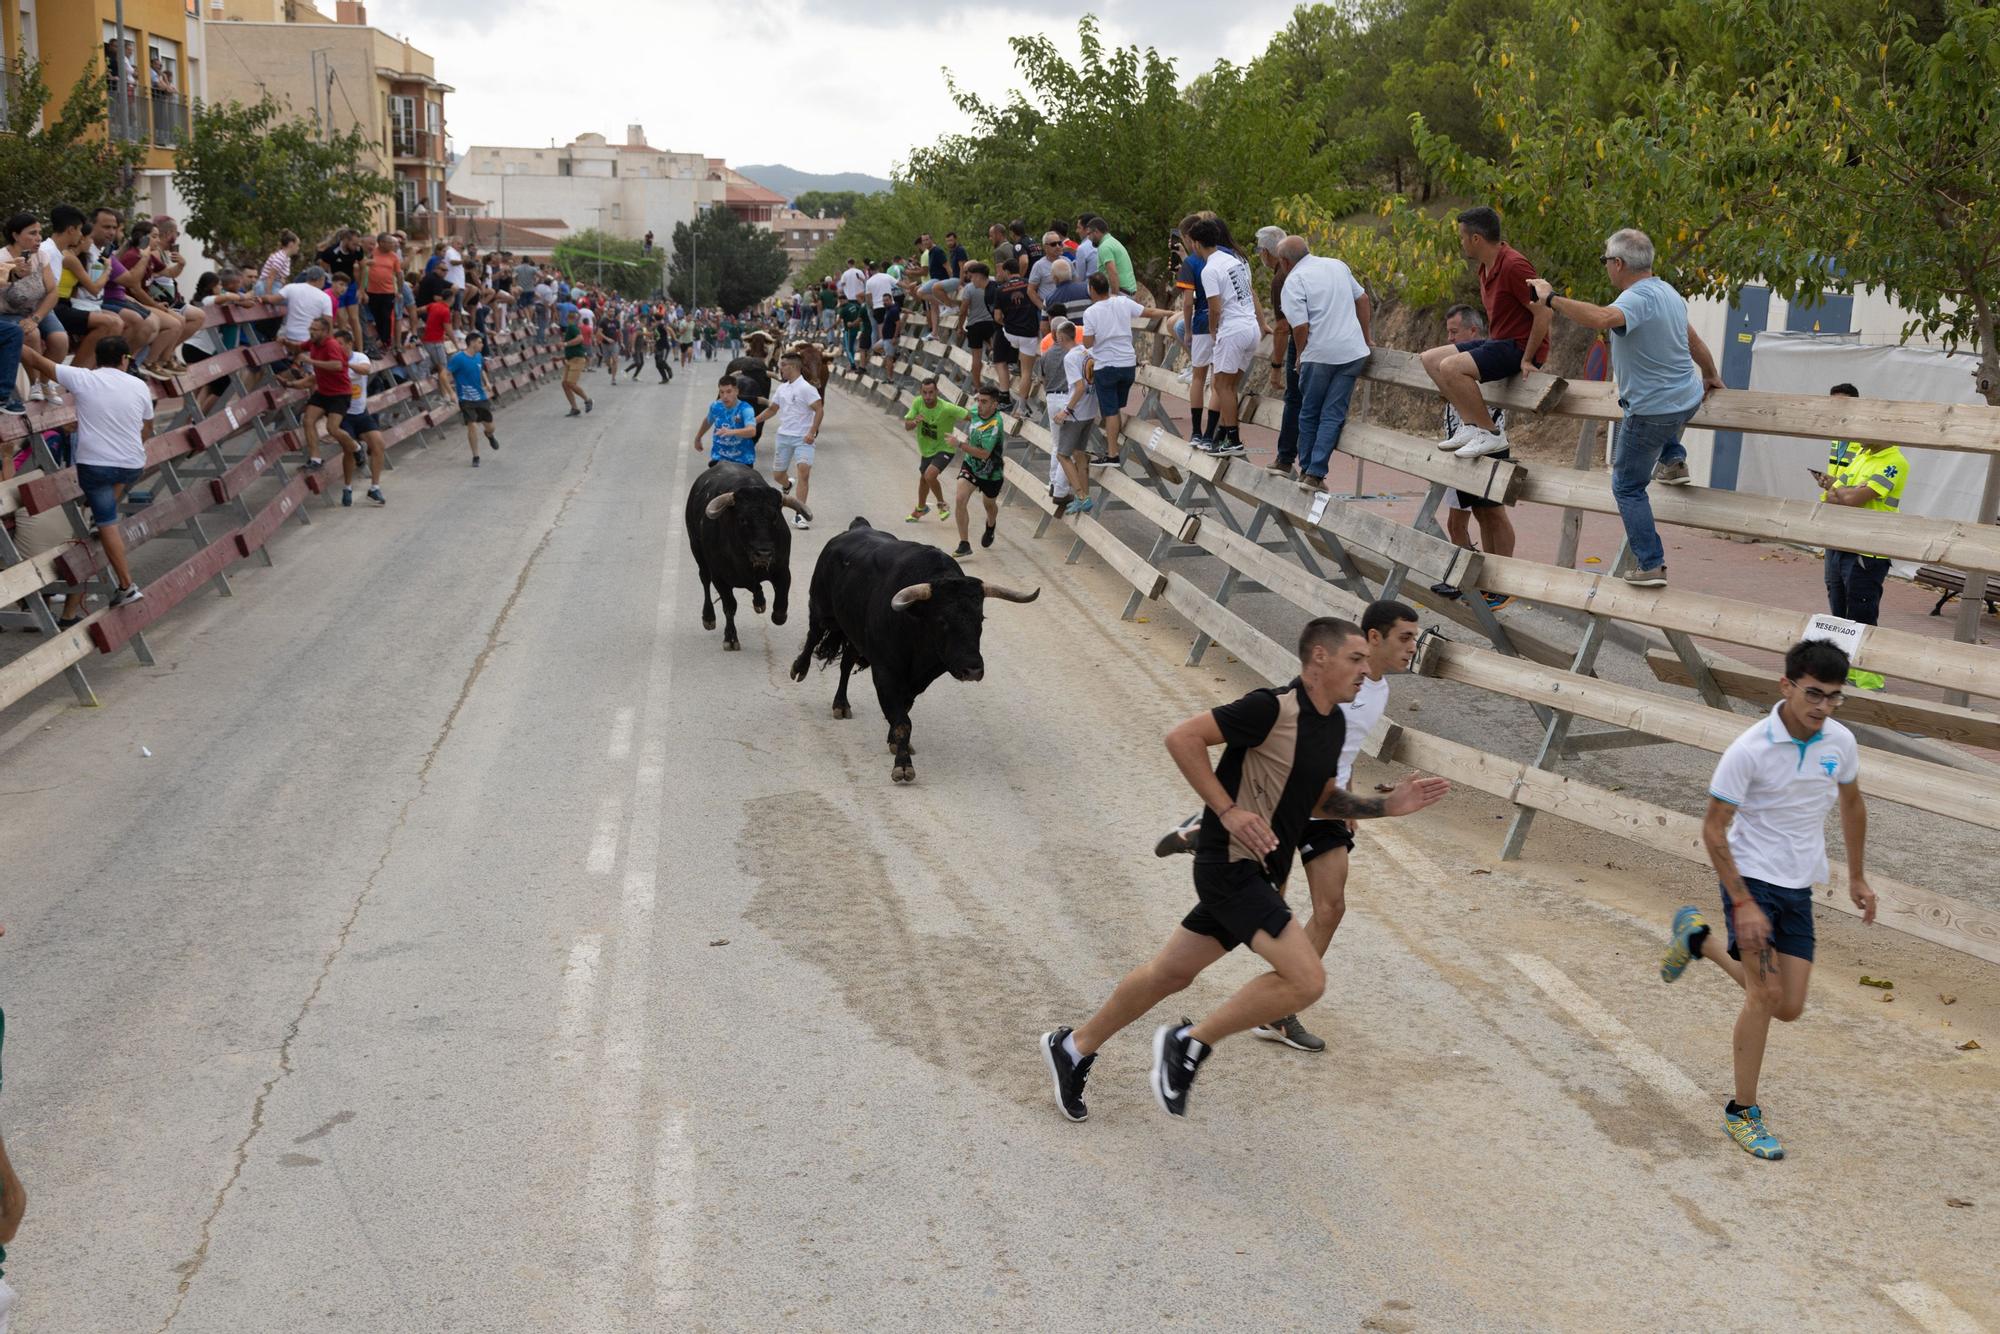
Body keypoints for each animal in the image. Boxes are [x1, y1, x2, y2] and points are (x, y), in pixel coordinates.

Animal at [688, 462, 812, 648]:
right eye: (743, 519)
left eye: (775, 518)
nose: (764, 553)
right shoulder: (719, 578)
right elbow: (729, 606)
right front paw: (730, 638)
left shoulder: (782, 569)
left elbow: (780, 604)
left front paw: (775, 613)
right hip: (698, 553)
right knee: (705, 580)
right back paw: (709, 618)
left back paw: (759, 602)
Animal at [788, 516, 1040, 776]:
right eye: (942, 621)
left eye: (980, 618)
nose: (973, 670)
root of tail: (858, 526)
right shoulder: (885, 673)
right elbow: (902, 722)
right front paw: (903, 764)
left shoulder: (919, 680)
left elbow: (903, 712)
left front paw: (896, 743)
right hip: (821, 608)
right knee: (813, 634)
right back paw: (800, 669)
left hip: (855, 632)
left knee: (846, 662)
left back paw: (841, 704)